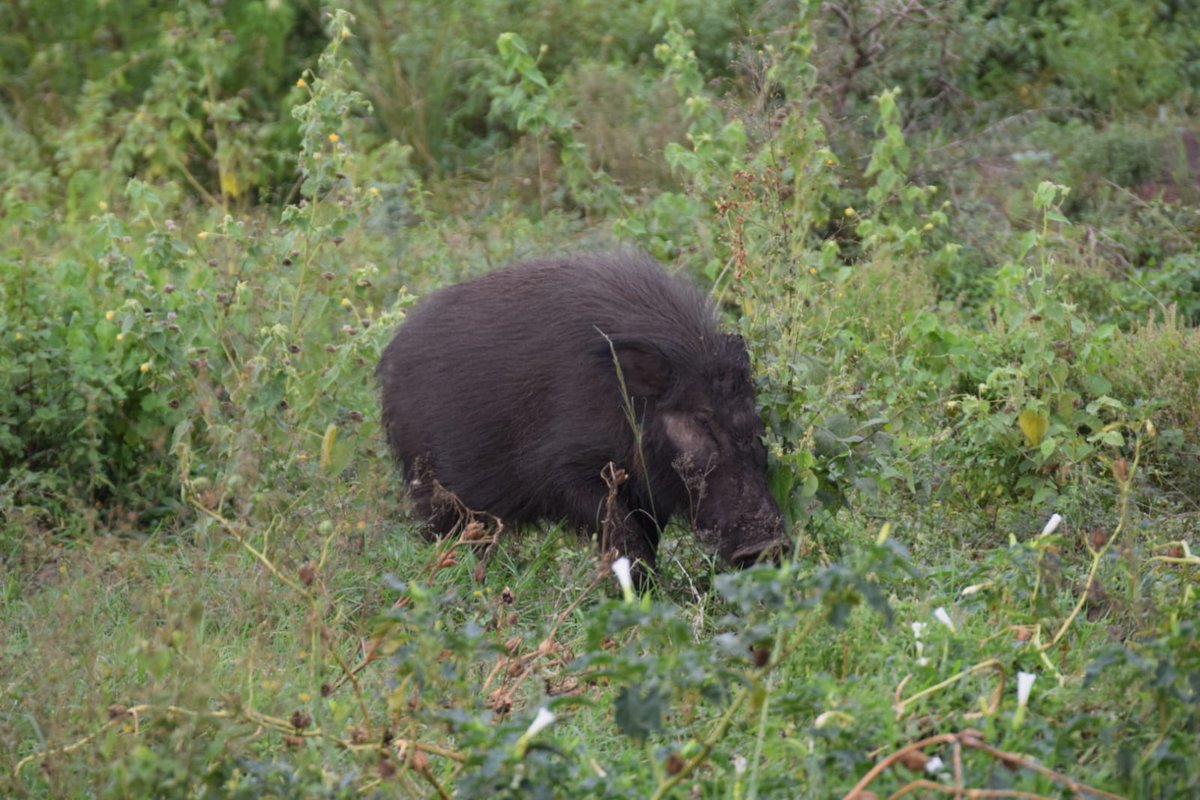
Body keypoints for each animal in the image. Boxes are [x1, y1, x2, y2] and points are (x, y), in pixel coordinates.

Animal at [377, 251, 787, 575]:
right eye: (701, 419)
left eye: (754, 419)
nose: (767, 546)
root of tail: (389, 358)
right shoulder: (566, 473)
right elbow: (622, 533)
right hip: (433, 491)